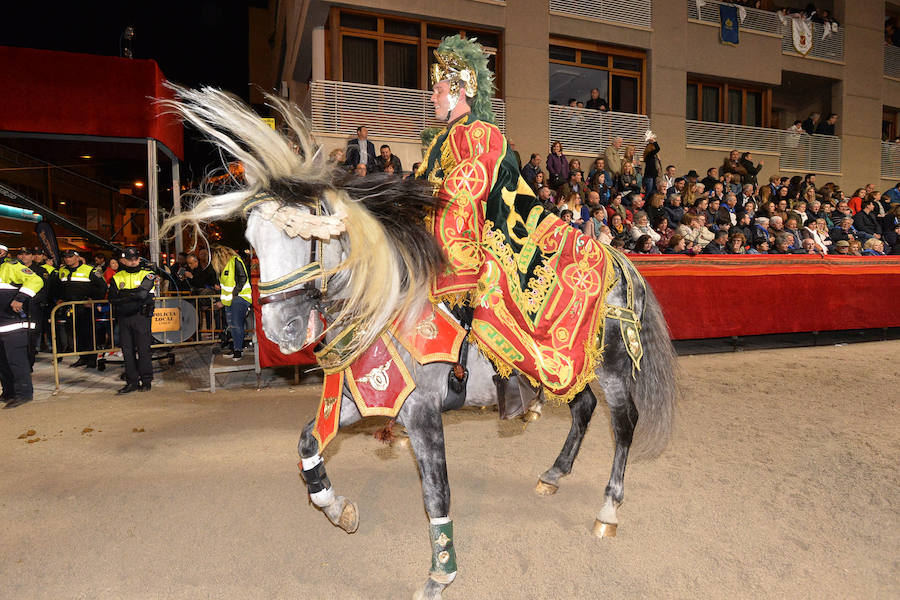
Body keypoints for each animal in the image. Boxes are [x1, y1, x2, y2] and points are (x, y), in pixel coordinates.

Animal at [162, 88, 676, 600]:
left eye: (301, 232)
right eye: (250, 237)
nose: (280, 330)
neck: (387, 304)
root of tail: (617, 259)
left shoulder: (423, 411)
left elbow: (436, 493)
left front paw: (440, 573)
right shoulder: (368, 393)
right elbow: (309, 441)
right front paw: (338, 508)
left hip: (611, 367)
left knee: (623, 423)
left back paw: (608, 509)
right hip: (562, 370)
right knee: (583, 406)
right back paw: (553, 475)